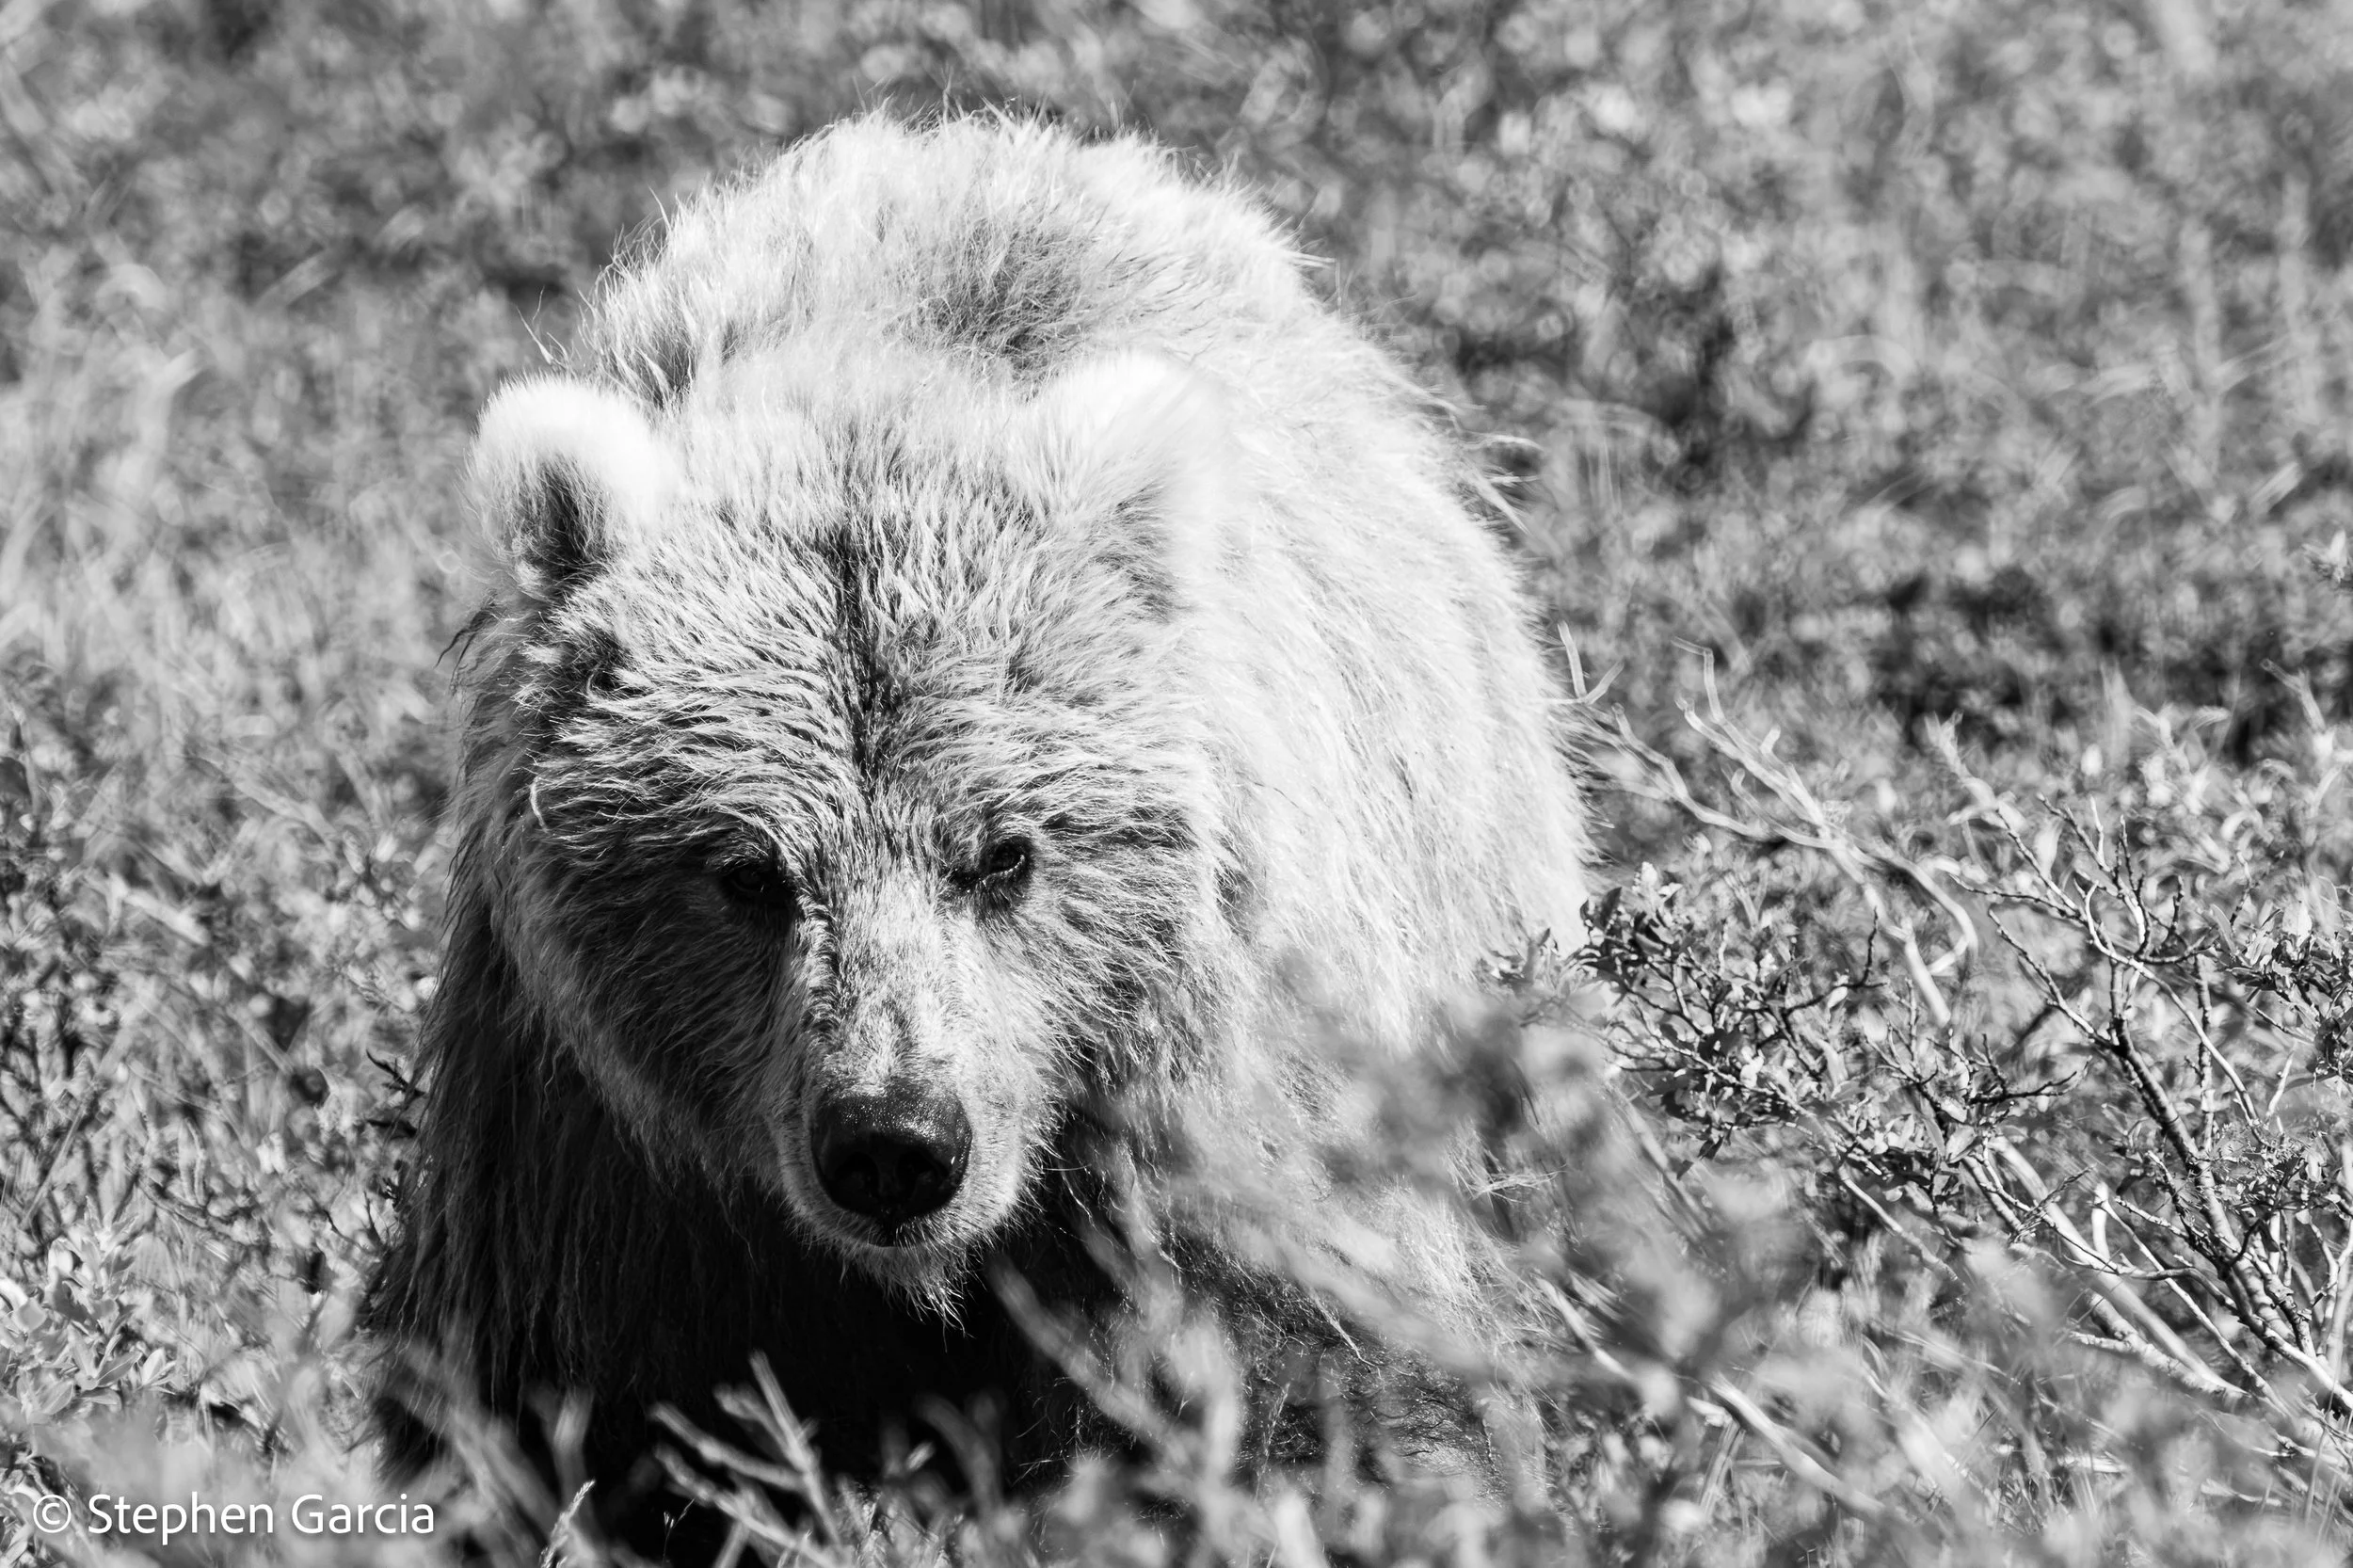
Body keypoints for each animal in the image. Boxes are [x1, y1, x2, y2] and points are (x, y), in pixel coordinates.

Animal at [364, 113, 1590, 1552]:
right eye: (745, 868)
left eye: (1006, 852)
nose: (896, 1145)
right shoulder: (603, 1148)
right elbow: (574, 1418)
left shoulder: (1231, 1095)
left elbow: (1312, 1377)